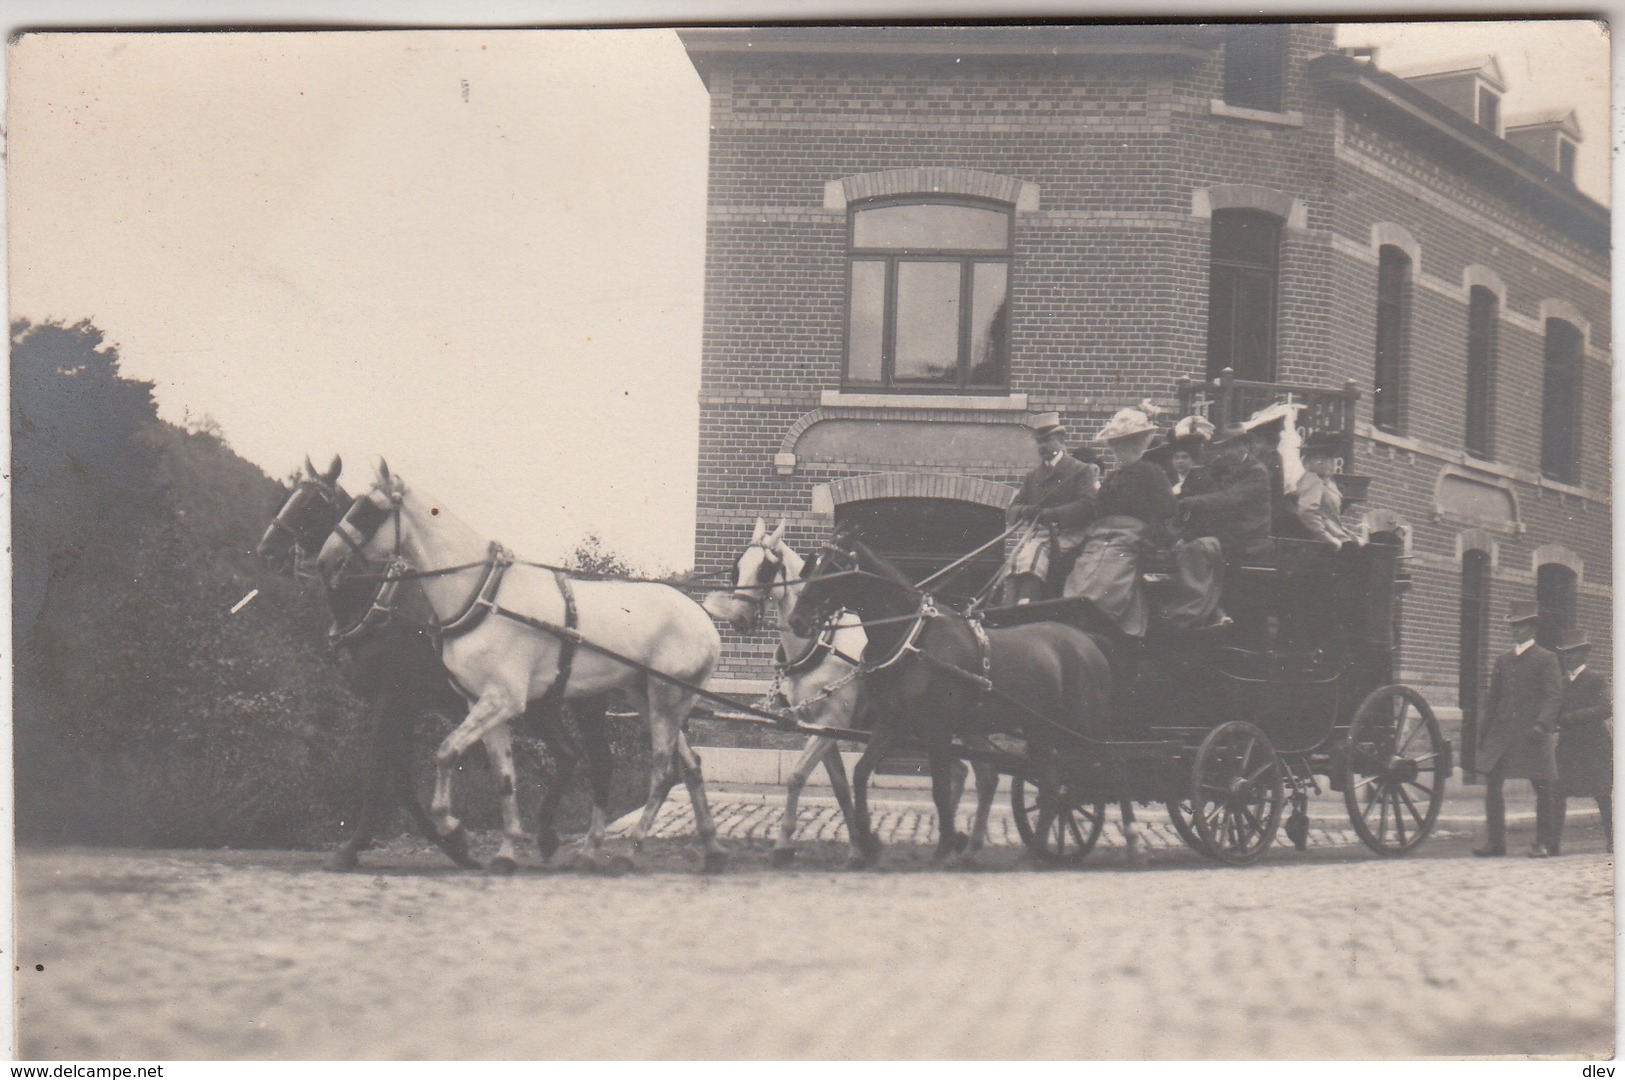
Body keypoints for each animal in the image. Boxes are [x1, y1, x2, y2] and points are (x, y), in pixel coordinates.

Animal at [253, 454, 611, 870]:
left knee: (599, 763)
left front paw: (355, 846)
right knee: (569, 755)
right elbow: (400, 778)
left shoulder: (395, 700)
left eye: (312, 503)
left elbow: (380, 773)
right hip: (542, 704)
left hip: (584, 702)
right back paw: (547, 835)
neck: (382, 606)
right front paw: (452, 841)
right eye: (290, 497)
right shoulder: (398, 705)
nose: (267, 550)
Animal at [313, 457, 728, 870]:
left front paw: (451, 826)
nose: (324, 560)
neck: (483, 597)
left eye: (369, 510)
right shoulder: (480, 703)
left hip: (665, 698)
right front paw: (506, 850)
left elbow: (446, 752)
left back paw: (628, 849)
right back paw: (707, 848)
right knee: (689, 766)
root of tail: (702, 617)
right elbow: (503, 777)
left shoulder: (502, 700)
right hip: (646, 696)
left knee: (662, 771)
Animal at [702, 519, 994, 864]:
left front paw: (784, 843)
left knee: (977, 772)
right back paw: (956, 838)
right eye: (737, 567)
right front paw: (857, 845)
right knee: (963, 771)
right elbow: (840, 788)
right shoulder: (818, 727)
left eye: (765, 569)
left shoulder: (832, 722)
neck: (821, 644)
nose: (738, 617)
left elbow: (797, 776)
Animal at [789, 529, 1118, 870]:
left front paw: (945, 845)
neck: (914, 640)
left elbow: (940, 787)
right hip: (1040, 729)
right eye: (815, 564)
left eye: (835, 566)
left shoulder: (938, 728)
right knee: (1052, 784)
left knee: (1109, 771)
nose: (797, 620)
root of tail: (1088, 641)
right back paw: (1033, 853)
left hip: (1086, 728)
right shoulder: (892, 722)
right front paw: (869, 842)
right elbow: (861, 772)